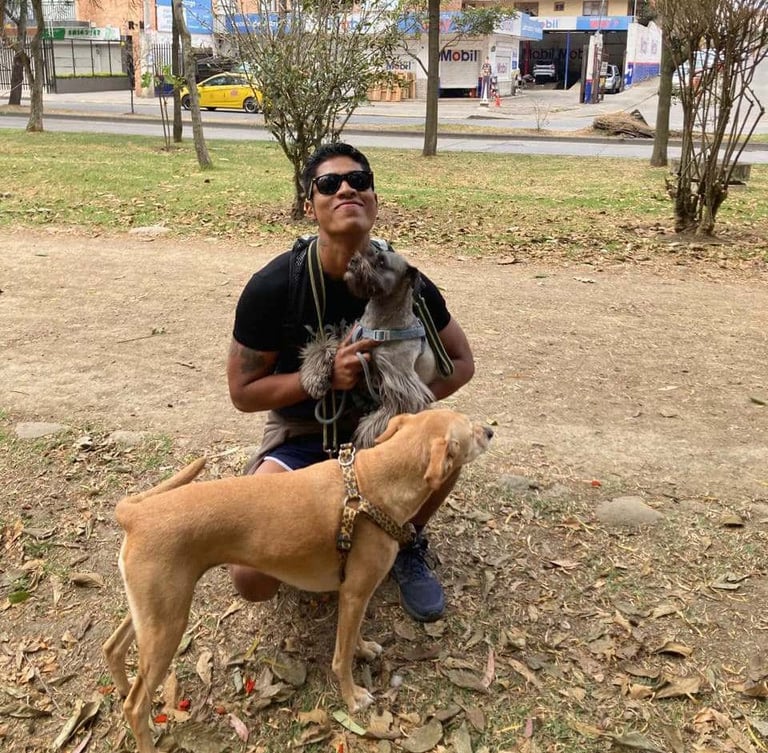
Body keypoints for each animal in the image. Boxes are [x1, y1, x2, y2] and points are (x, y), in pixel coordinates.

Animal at [103, 409, 493, 753]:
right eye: (469, 429)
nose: (490, 430)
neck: (371, 484)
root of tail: (137, 514)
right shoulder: (355, 593)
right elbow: (341, 657)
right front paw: (353, 697)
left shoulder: (354, 595)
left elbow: (354, 638)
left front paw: (365, 648)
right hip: (167, 626)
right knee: (135, 705)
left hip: (153, 614)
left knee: (113, 648)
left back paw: (122, 688)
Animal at [300, 244, 436, 449]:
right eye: (369, 253)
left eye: (381, 262)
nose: (353, 260)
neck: (379, 324)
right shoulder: (348, 341)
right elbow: (323, 346)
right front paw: (315, 378)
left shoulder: (402, 385)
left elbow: (384, 417)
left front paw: (366, 437)